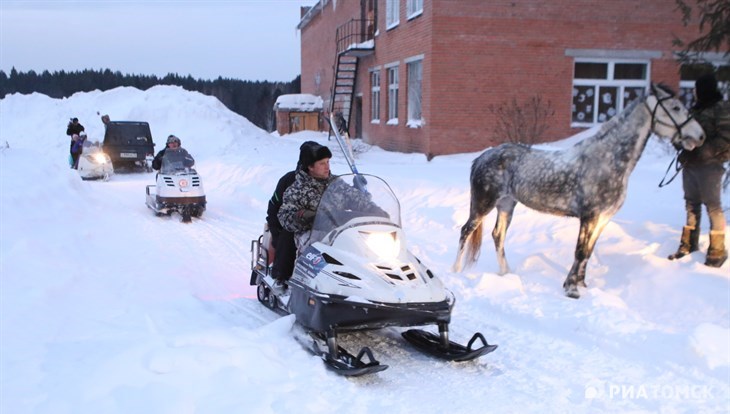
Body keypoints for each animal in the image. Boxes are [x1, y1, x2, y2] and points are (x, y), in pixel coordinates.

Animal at [452, 83, 704, 298]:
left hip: (506, 204)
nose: (700, 136)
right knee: (466, 231)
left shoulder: (603, 218)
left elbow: (589, 251)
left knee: (498, 235)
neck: (607, 160)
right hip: (483, 204)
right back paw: (455, 271)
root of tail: (483, 156)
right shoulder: (590, 216)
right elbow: (580, 251)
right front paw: (571, 289)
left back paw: (507, 273)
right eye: (675, 107)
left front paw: (581, 284)